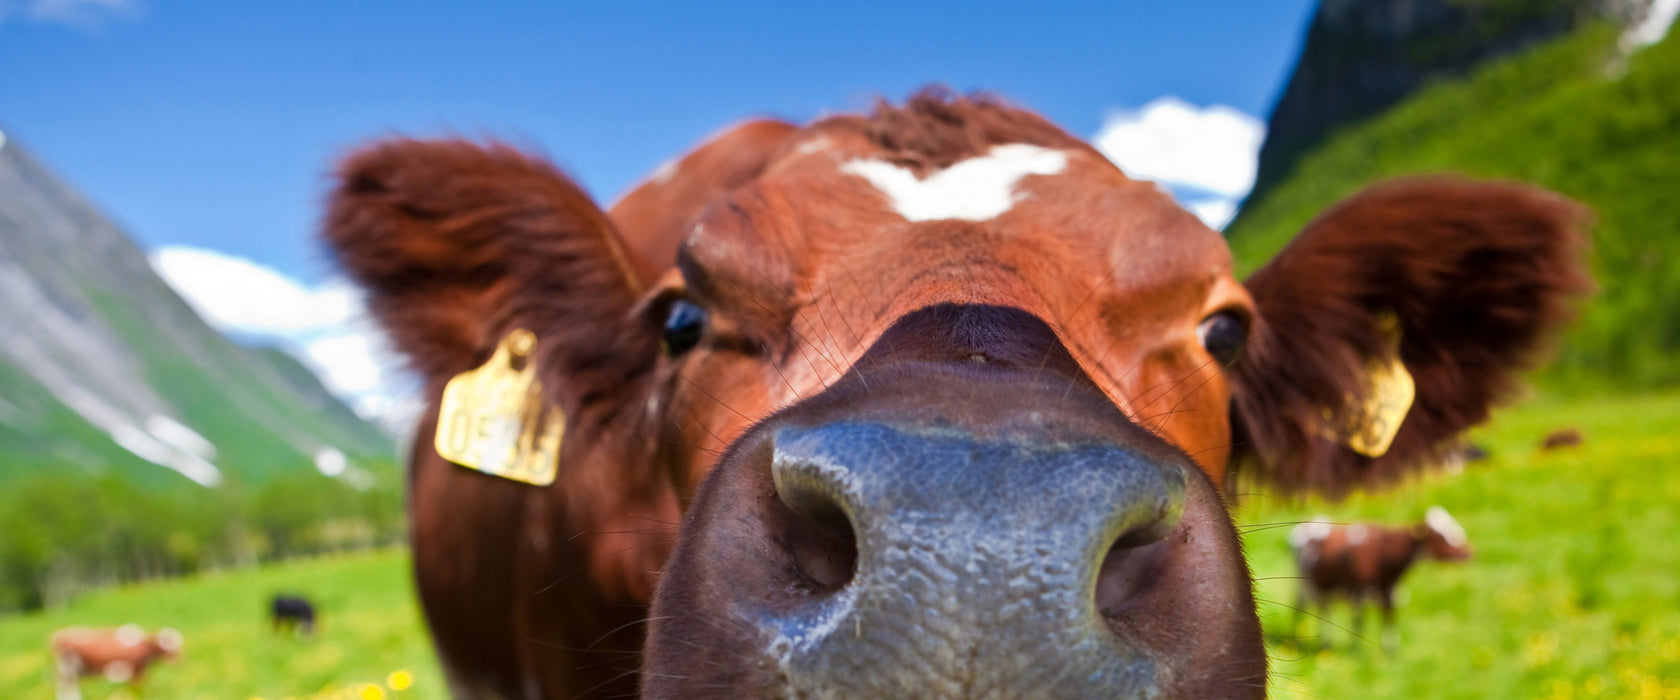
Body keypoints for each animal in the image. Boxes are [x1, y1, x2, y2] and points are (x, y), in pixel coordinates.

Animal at [50, 621, 182, 698]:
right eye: (168, 644)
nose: (178, 662)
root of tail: (59, 635)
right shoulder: (136, 672)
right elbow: (136, 690)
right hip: (68, 669)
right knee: (66, 686)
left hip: (76, 671)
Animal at [1283, 503, 1471, 647]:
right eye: (1441, 536)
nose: (1470, 552)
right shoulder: (1358, 593)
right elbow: (1359, 623)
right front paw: (1356, 650)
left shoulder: (1391, 595)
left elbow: (1389, 622)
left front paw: (1390, 654)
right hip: (1304, 585)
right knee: (1301, 609)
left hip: (1323, 589)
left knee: (1323, 610)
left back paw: (1325, 642)